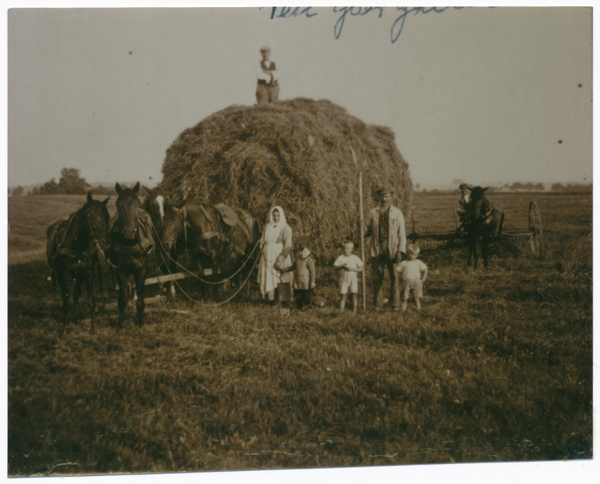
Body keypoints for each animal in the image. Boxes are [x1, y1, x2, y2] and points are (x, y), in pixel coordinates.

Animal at [45, 191, 110, 330]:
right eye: (92, 217)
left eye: (107, 216)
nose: (105, 243)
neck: (77, 246)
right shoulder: (64, 275)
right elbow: (66, 301)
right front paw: (64, 328)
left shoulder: (87, 274)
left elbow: (90, 300)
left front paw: (93, 328)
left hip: (78, 276)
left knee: (76, 294)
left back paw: (78, 317)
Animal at [108, 182, 156, 328]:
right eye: (118, 205)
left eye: (136, 204)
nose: (128, 233)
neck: (130, 243)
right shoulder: (120, 271)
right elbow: (122, 297)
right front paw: (121, 322)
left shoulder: (142, 271)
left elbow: (140, 296)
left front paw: (140, 321)